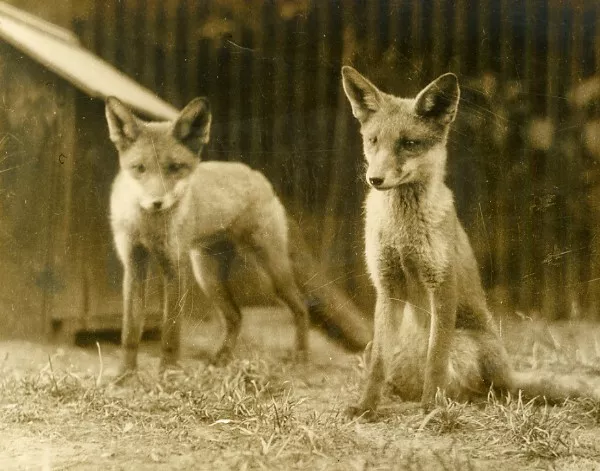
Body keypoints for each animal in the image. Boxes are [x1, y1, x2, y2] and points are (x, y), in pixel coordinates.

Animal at [104, 97, 310, 380]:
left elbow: (171, 330)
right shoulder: (134, 266)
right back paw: (220, 360)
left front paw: (169, 372)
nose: (156, 203)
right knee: (236, 316)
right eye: (140, 168)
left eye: (174, 168)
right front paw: (125, 375)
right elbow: (130, 331)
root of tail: (255, 173)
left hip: (272, 274)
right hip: (208, 277)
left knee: (301, 307)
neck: (149, 228)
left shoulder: (175, 268)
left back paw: (301, 357)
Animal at [340, 64, 600, 418]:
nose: (375, 179)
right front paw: (366, 407)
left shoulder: (441, 283)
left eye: (409, 143)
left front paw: (431, 409)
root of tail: (508, 372)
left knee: (483, 390)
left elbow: (436, 359)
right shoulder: (387, 285)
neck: (403, 231)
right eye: (373, 141)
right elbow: (378, 364)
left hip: (467, 348)